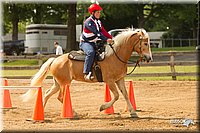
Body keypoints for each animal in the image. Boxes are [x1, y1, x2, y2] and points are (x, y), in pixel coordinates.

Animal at [20, 28, 152, 118]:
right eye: (145, 43)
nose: (149, 58)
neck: (115, 55)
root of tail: (54, 60)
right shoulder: (110, 81)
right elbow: (116, 96)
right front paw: (103, 107)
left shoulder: (119, 79)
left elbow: (125, 94)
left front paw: (133, 112)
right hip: (64, 83)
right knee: (61, 97)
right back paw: (73, 113)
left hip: (58, 84)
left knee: (47, 94)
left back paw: (41, 111)